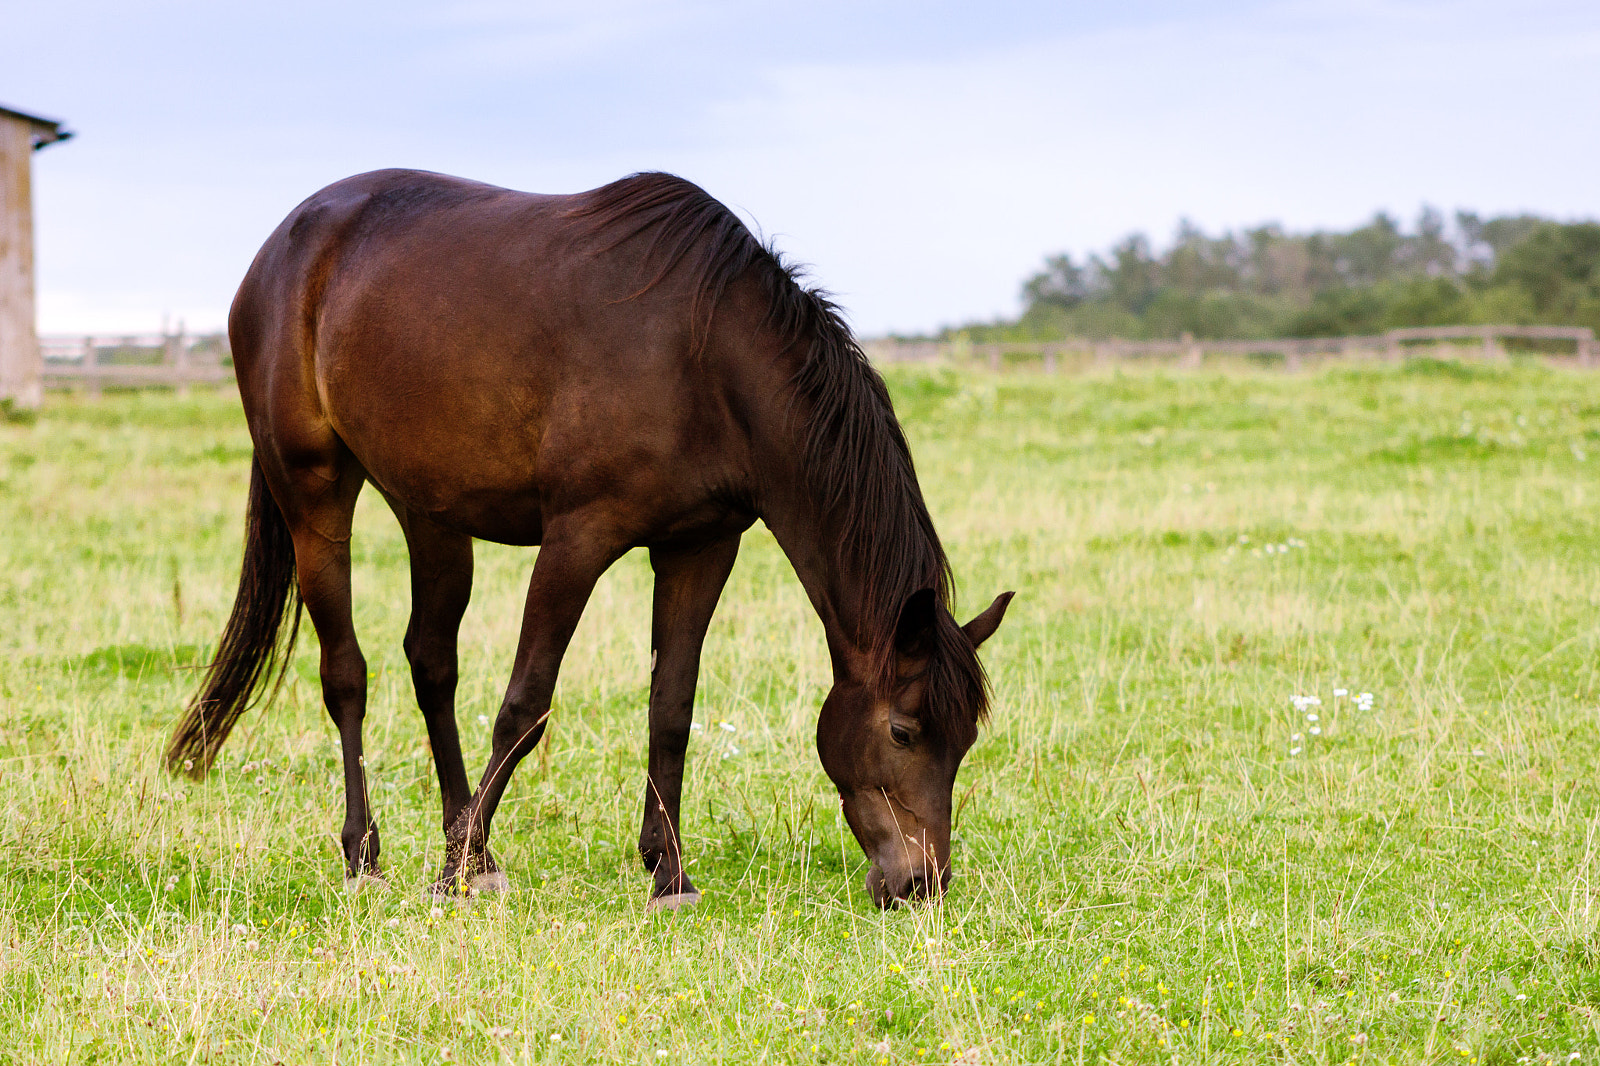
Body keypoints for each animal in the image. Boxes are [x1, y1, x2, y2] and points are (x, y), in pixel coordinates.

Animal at [165, 168, 1012, 909]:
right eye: (903, 731)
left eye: (965, 740)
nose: (921, 884)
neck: (703, 358)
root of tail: (283, 250)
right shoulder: (577, 538)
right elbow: (525, 704)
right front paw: (454, 872)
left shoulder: (702, 546)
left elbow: (671, 707)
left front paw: (667, 873)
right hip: (314, 489)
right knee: (346, 674)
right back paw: (369, 856)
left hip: (429, 511)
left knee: (432, 665)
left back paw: (470, 846)